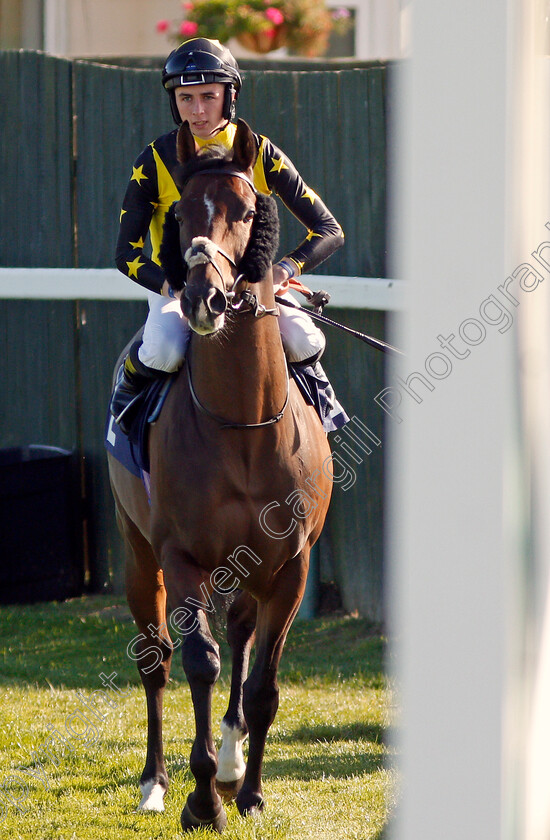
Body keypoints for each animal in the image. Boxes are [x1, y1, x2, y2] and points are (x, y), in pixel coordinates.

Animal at [106, 120, 332, 832]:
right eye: (180, 215)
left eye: (248, 210)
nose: (203, 298)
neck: (242, 424)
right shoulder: (179, 555)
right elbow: (198, 664)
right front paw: (202, 800)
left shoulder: (290, 563)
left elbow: (261, 682)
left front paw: (249, 789)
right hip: (136, 550)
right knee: (155, 660)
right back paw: (154, 782)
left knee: (239, 633)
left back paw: (233, 761)